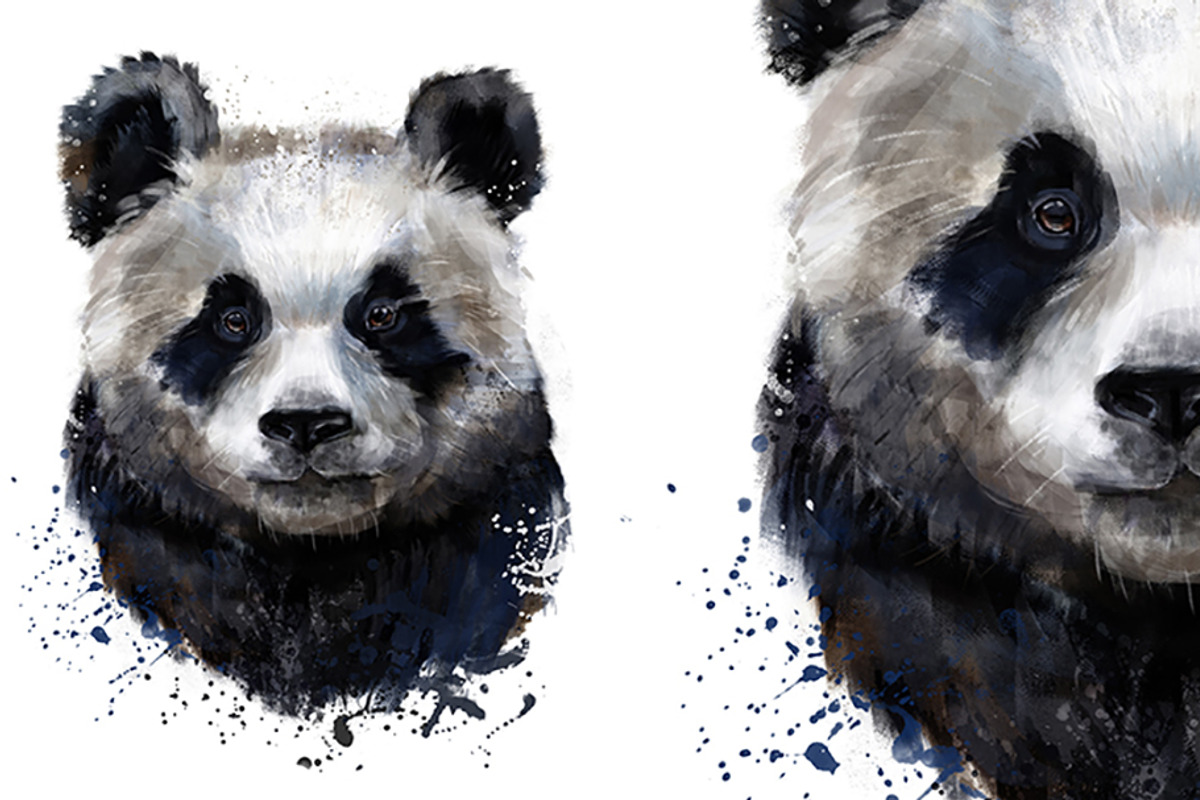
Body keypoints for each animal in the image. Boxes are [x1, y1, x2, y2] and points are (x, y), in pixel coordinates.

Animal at [58, 53, 568, 716]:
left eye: (382, 313)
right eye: (232, 319)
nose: (306, 424)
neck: (310, 557)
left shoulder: (486, 539)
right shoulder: (145, 529)